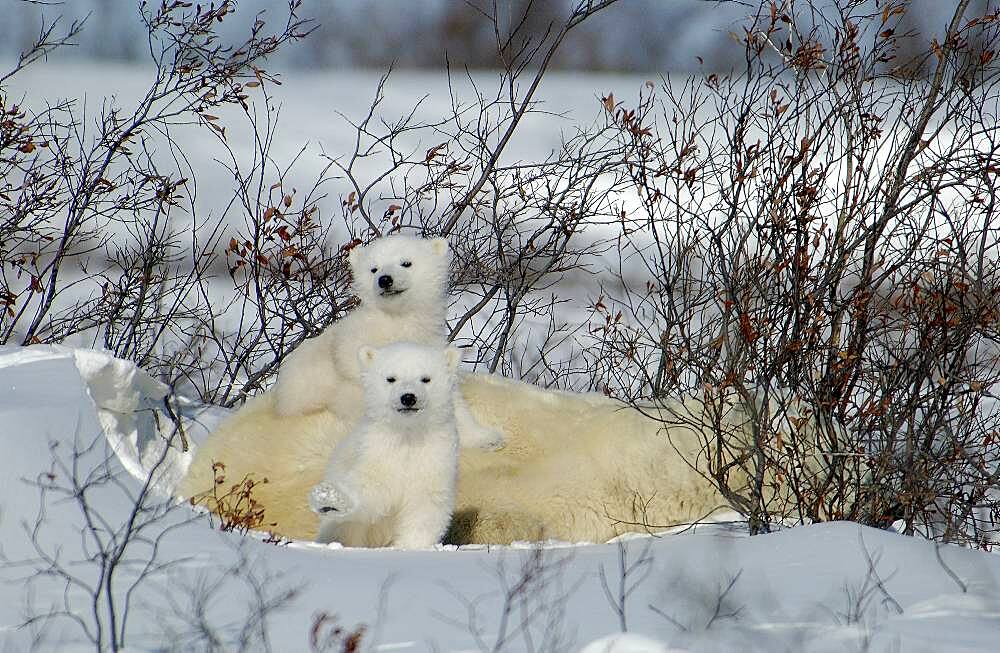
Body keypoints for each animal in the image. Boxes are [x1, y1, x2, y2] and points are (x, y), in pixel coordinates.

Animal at [272, 234, 500, 454]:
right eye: (374, 268)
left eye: (406, 263)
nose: (385, 279)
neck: (395, 323)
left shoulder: (429, 344)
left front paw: (487, 438)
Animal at [310, 344, 462, 548]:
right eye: (391, 378)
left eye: (425, 378)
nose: (408, 397)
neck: (408, 434)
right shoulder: (377, 450)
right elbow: (370, 488)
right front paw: (331, 499)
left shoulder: (436, 454)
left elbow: (426, 504)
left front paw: (409, 546)